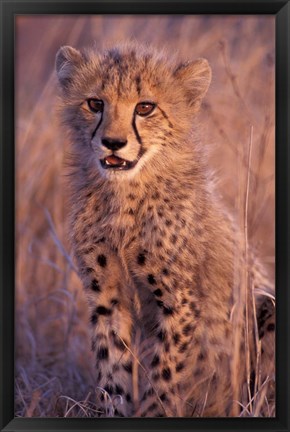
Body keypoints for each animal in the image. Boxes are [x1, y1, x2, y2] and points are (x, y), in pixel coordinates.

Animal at [55, 42, 276, 416]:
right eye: (95, 103)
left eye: (145, 107)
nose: (113, 142)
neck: (125, 194)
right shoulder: (107, 297)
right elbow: (112, 368)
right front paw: (114, 410)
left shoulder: (179, 301)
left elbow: (164, 374)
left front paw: (154, 410)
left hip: (266, 305)